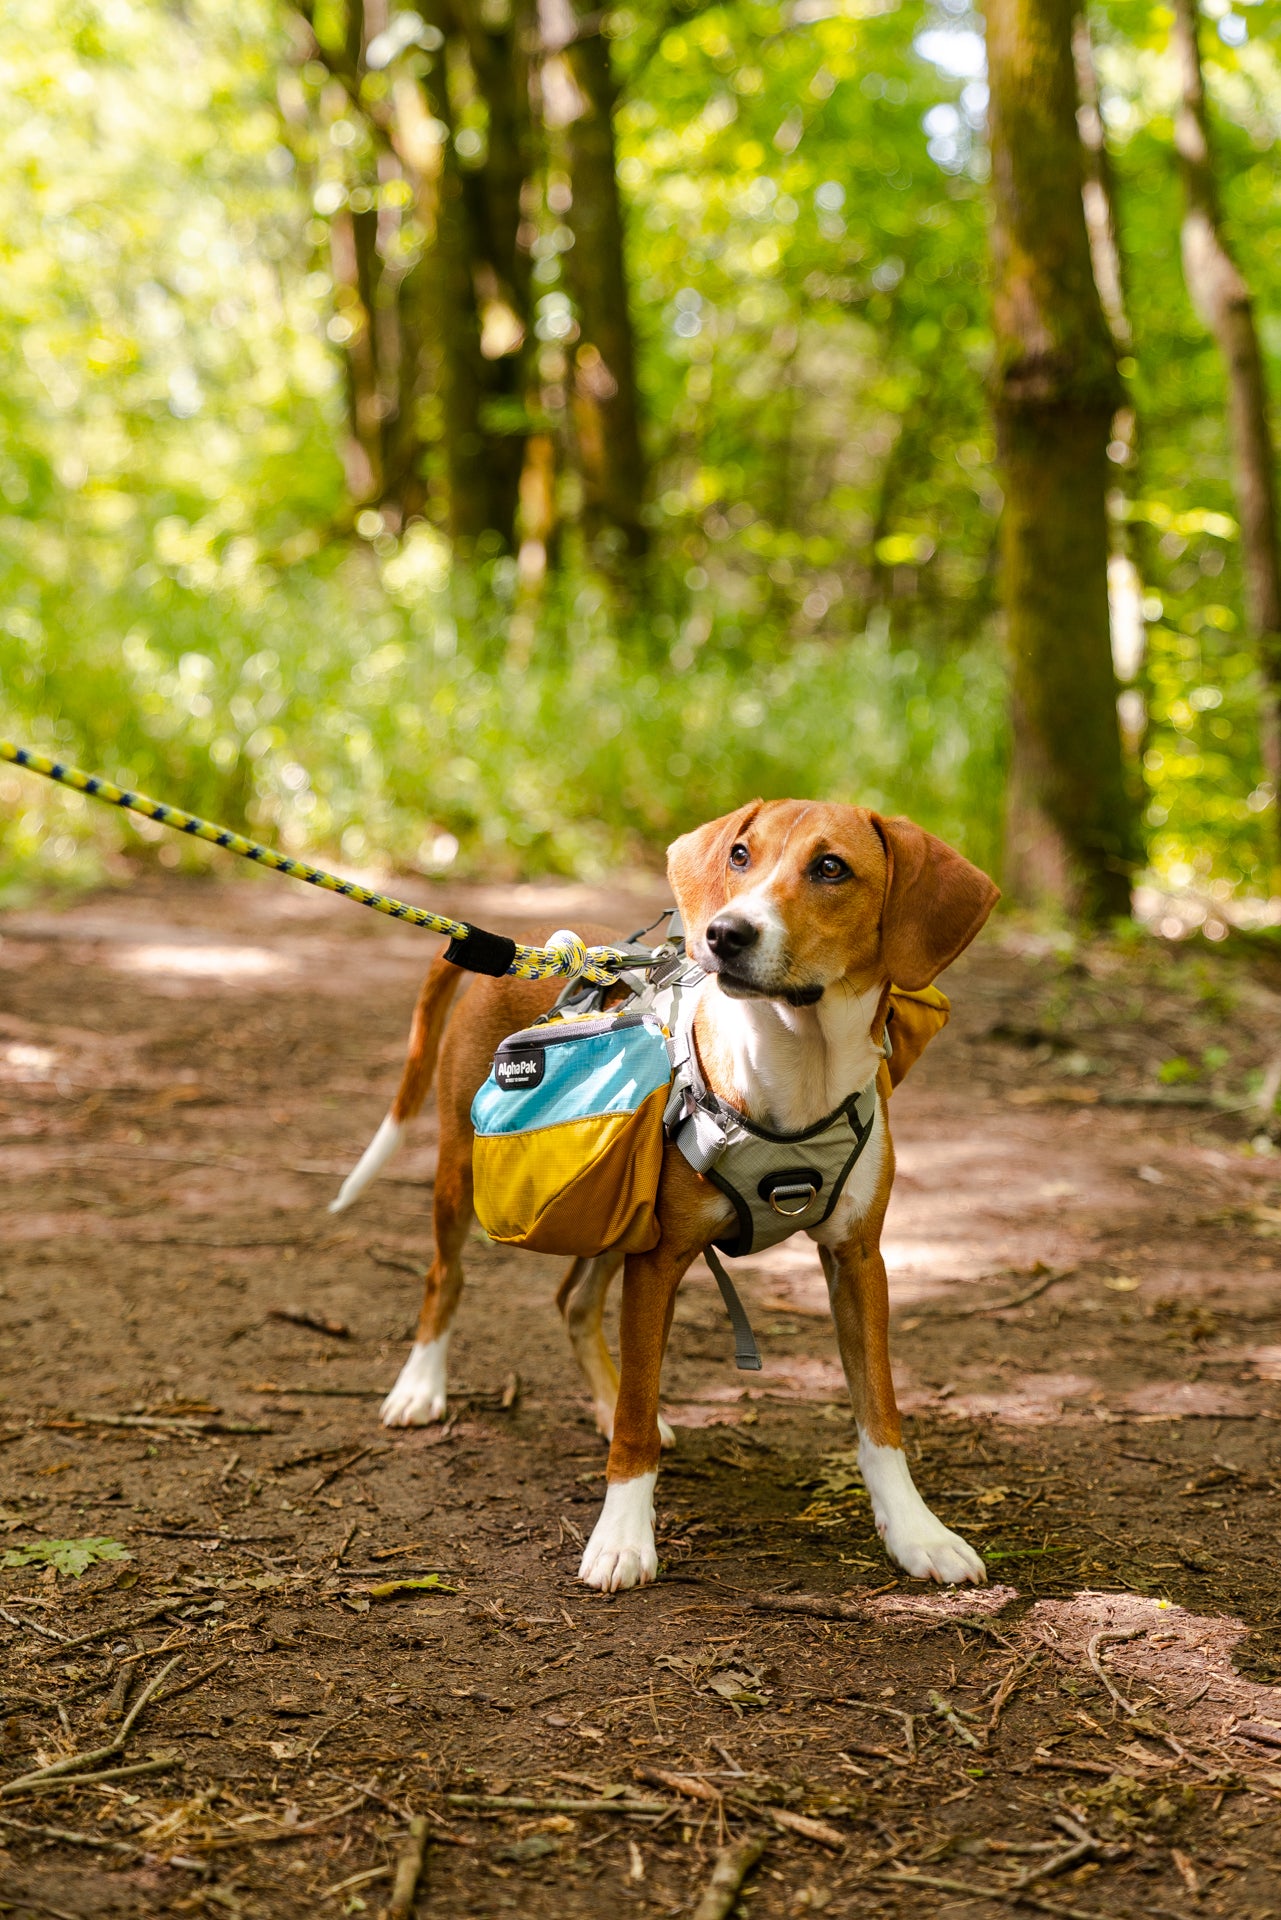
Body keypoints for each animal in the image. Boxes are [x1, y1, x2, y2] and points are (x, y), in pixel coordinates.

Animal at [330, 794, 998, 1589]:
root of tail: (530, 949)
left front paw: (917, 1531)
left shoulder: (857, 1259)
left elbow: (880, 1414)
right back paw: (421, 1387)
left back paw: (598, 1397)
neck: (794, 1070)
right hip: (464, 1173)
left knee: (573, 1302)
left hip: (616, 1214)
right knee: (445, 1277)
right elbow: (636, 1422)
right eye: (739, 855)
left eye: (831, 868)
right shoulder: (661, 1260)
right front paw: (621, 1536)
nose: (724, 933)